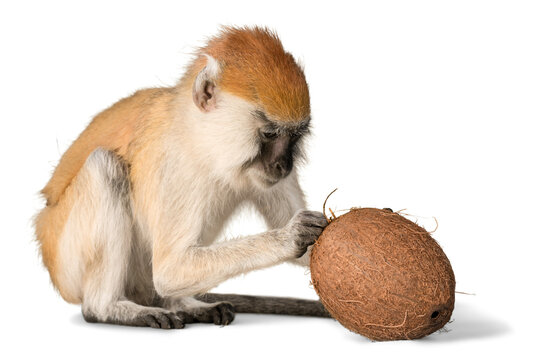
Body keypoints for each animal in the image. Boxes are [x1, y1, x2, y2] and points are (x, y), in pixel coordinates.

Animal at [36, 25, 332, 330]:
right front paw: (291, 236)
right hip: (66, 260)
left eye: (294, 137)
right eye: (270, 134)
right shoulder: (174, 164)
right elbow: (170, 270)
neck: (199, 137)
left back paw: (181, 305)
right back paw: (108, 309)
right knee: (103, 166)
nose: (282, 165)